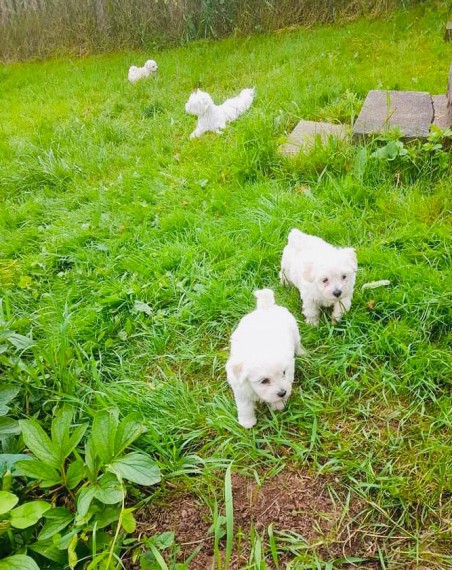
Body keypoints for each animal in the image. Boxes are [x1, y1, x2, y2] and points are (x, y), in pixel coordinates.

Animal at [226, 288, 304, 426]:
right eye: (264, 381)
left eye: (283, 373)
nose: (282, 393)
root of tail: (266, 307)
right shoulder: (240, 390)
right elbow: (245, 406)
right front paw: (247, 422)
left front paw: (278, 405)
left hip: (295, 332)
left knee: (297, 344)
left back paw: (302, 353)